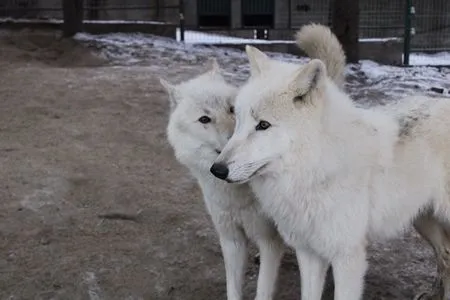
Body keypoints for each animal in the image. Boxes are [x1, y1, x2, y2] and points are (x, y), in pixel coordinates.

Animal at [160, 23, 346, 300]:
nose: (232, 139)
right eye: (205, 119)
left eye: (231, 109)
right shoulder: (231, 239)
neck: (236, 195)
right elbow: (233, 288)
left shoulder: (270, 241)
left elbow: (263, 289)